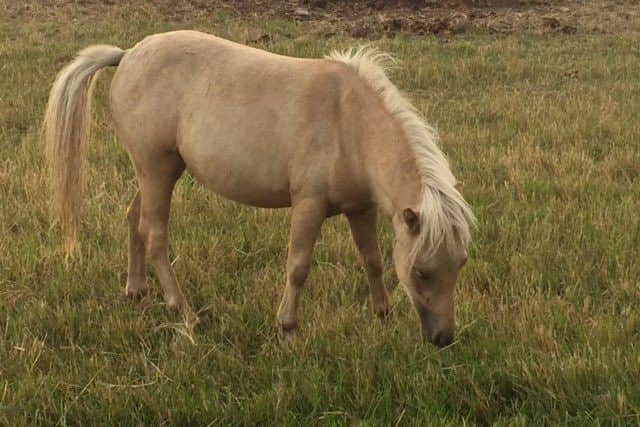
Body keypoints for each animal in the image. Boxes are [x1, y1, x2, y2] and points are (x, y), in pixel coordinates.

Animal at [43, 30, 475, 347]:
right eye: (421, 272)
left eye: (460, 265)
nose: (443, 338)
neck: (349, 122)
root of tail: (129, 53)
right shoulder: (309, 205)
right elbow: (298, 267)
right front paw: (287, 328)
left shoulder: (361, 208)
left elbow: (372, 260)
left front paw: (382, 318)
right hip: (156, 169)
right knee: (155, 236)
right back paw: (185, 312)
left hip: (157, 172)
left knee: (134, 218)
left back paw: (136, 291)